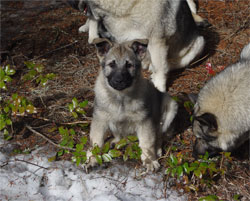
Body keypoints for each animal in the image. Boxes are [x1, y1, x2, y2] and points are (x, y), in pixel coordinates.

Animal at [88, 38, 178, 171]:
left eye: (129, 65)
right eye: (111, 65)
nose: (119, 80)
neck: (121, 97)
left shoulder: (145, 122)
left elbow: (147, 143)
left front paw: (150, 160)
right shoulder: (100, 120)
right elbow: (96, 142)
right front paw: (92, 159)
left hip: (170, 106)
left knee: (159, 135)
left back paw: (157, 150)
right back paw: (116, 141)